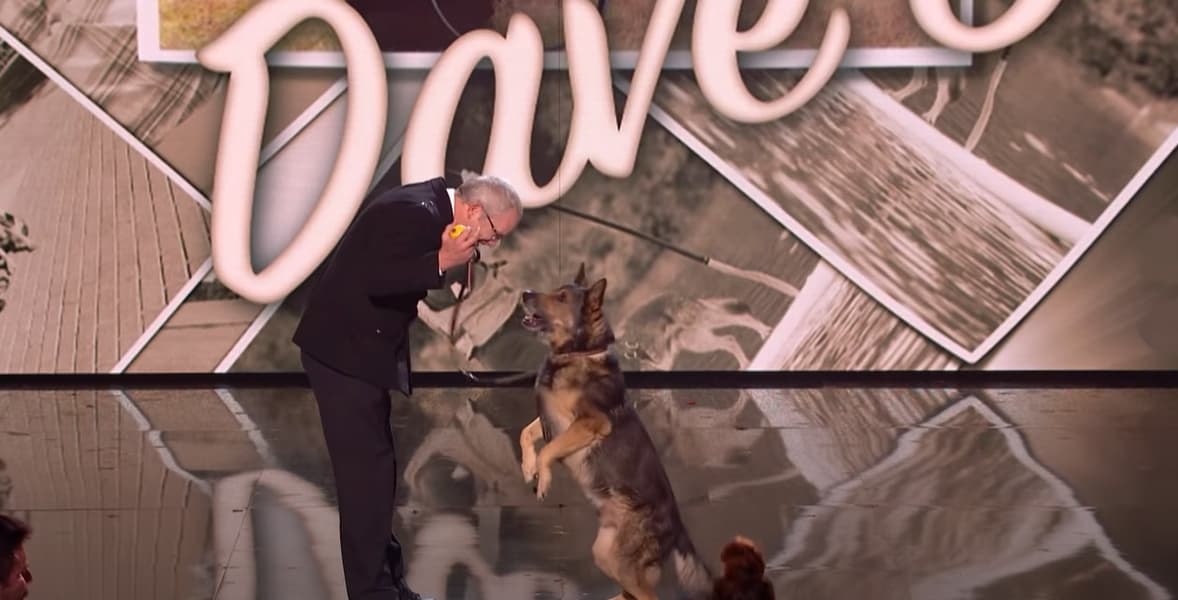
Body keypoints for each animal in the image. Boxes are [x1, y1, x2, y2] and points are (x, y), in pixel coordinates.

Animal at [515, 265, 753, 598]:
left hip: (622, 561)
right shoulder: (552, 421)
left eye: (561, 297)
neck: (578, 353)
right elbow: (526, 434)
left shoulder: (590, 423)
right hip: (606, 554)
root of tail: (678, 527)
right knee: (632, 592)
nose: (524, 292)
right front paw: (528, 467)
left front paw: (543, 477)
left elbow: (548, 449)